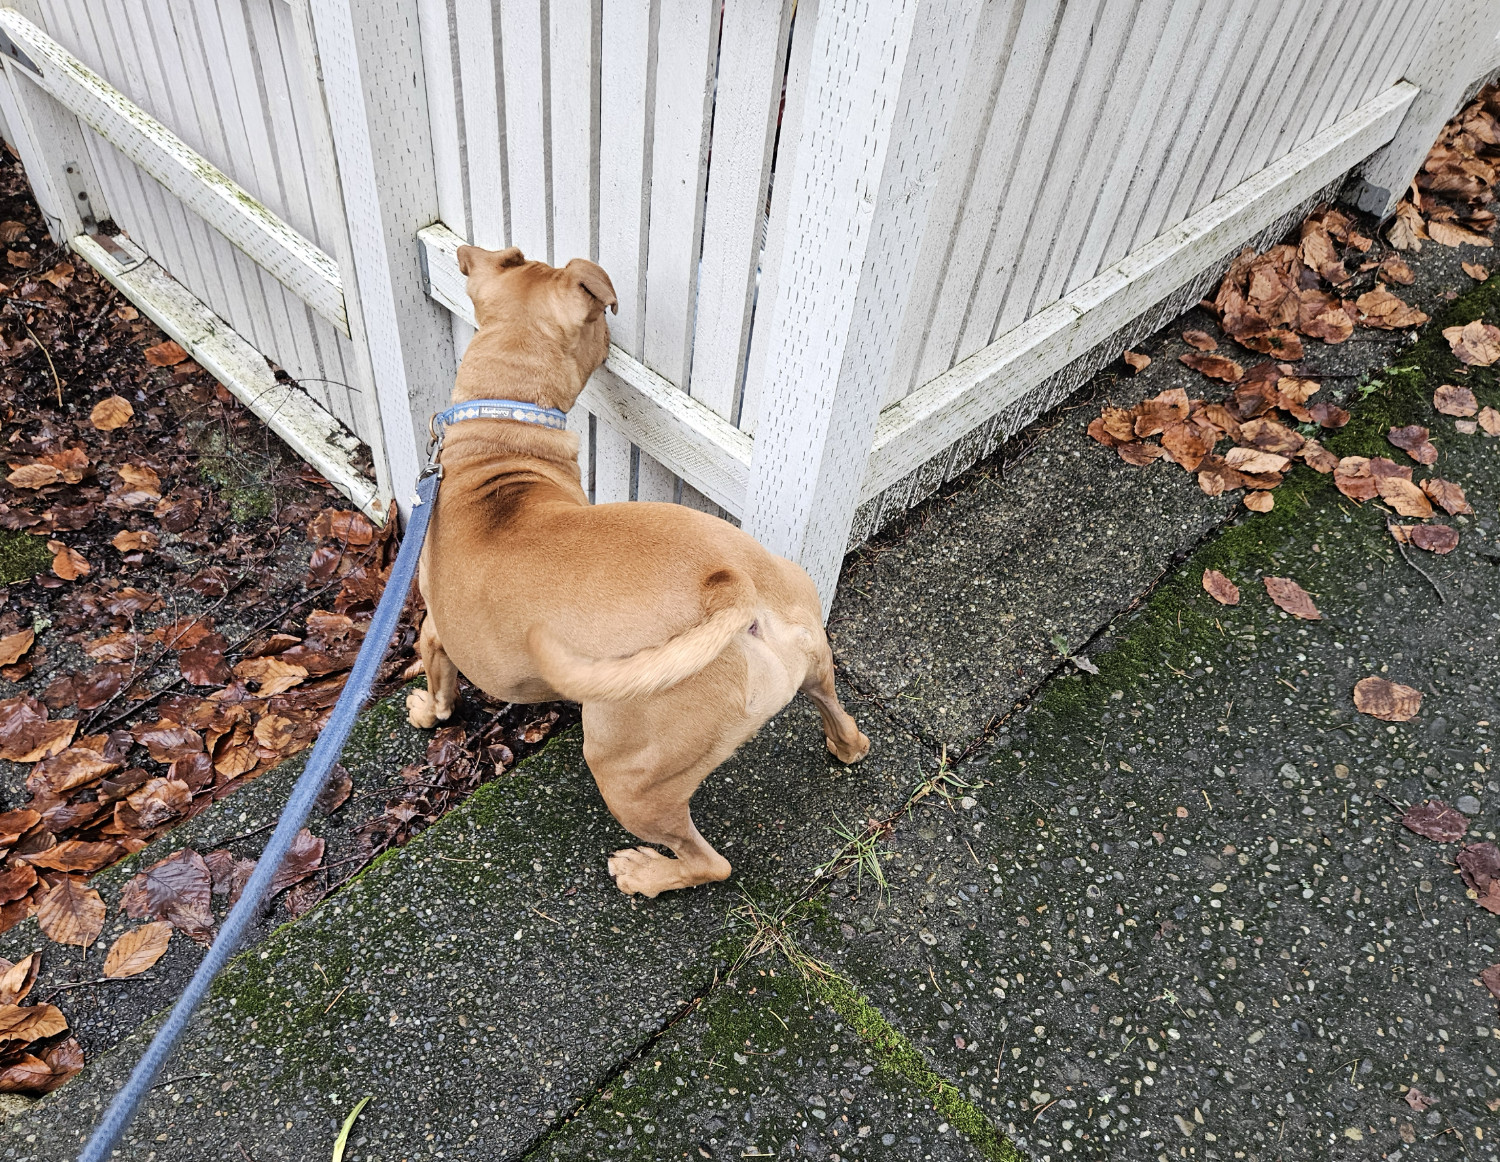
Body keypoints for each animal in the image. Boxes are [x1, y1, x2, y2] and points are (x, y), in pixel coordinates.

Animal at [405, 247, 876, 899]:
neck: (498, 446)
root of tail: (734, 588)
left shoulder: (435, 629)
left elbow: (438, 678)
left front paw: (427, 711)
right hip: (811, 652)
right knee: (841, 716)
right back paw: (844, 744)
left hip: (626, 769)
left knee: (710, 862)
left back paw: (648, 872)